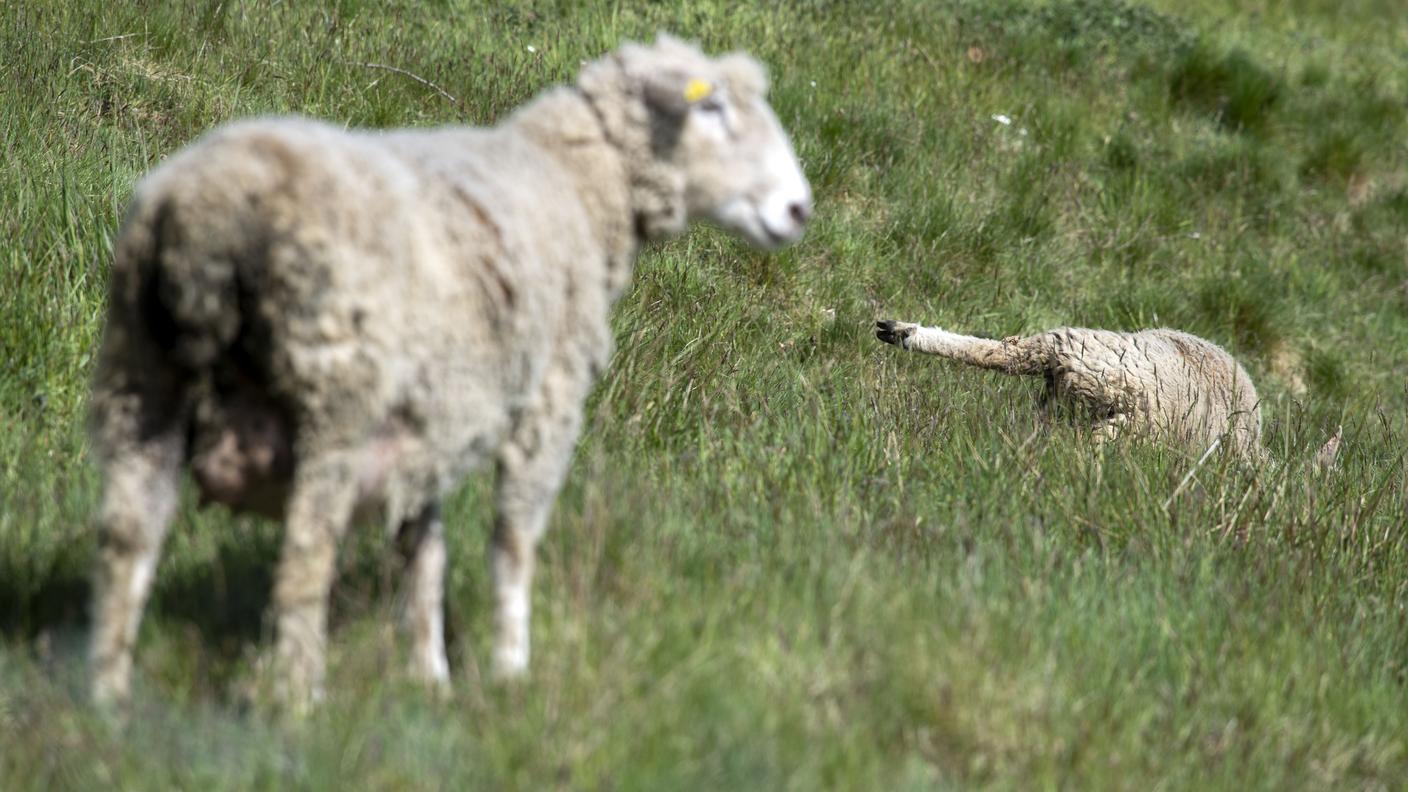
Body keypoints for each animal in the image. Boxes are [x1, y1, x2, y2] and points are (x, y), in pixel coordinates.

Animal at [88, 34, 812, 711]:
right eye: (713, 107)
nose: (799, 209)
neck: (576, 180)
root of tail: (209, 217)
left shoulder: (430, 417)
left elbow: (425, 551)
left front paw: (428, 675)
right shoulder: (548, 400)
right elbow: (513, 544)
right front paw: (510, 671)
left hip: (140, 376)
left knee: (129, 540)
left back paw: (109, 701)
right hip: (335, 397)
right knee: (304, 556)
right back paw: (301, 702)